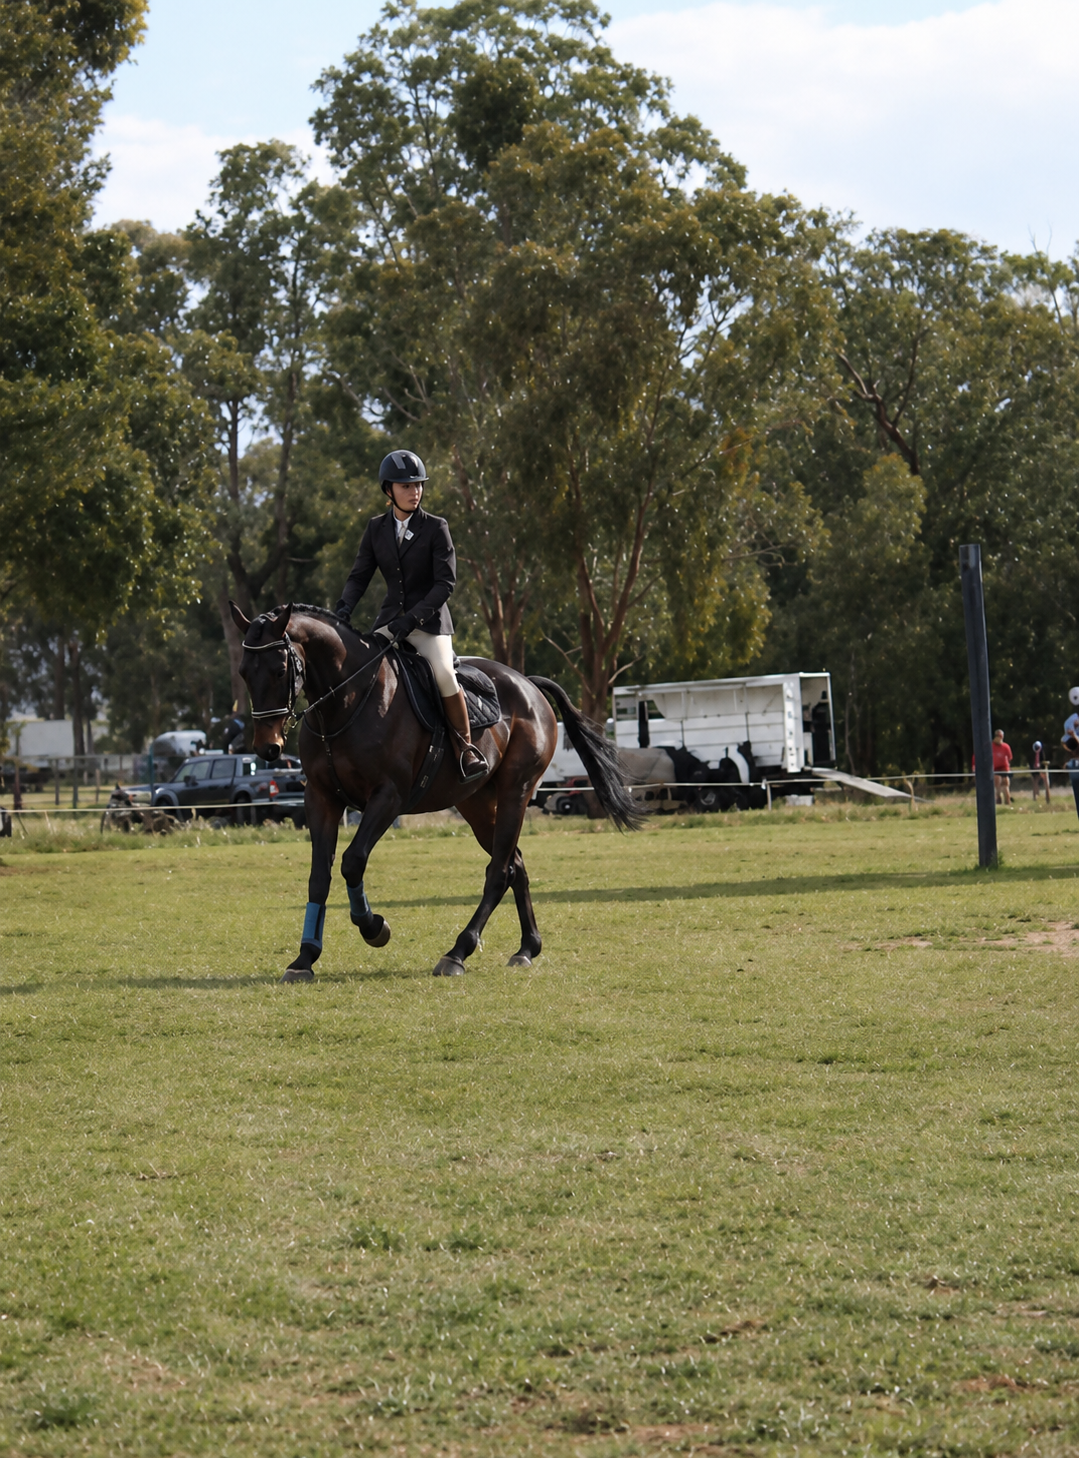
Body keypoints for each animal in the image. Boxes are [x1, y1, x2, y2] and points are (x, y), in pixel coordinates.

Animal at [230, 602, 641, 981]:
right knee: (515, 864)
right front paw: (304, 958)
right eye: (244, 673)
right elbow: (319, 875)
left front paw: (374, 927)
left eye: (279, 671)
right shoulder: (321, 799)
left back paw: (458, 952)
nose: (268, 748)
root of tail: (527, 684)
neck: (345, 702)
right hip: (476, 803)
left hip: (516, 792)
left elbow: (352, 861)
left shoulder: (388, 797)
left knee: (499, 871)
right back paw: (527, 948)